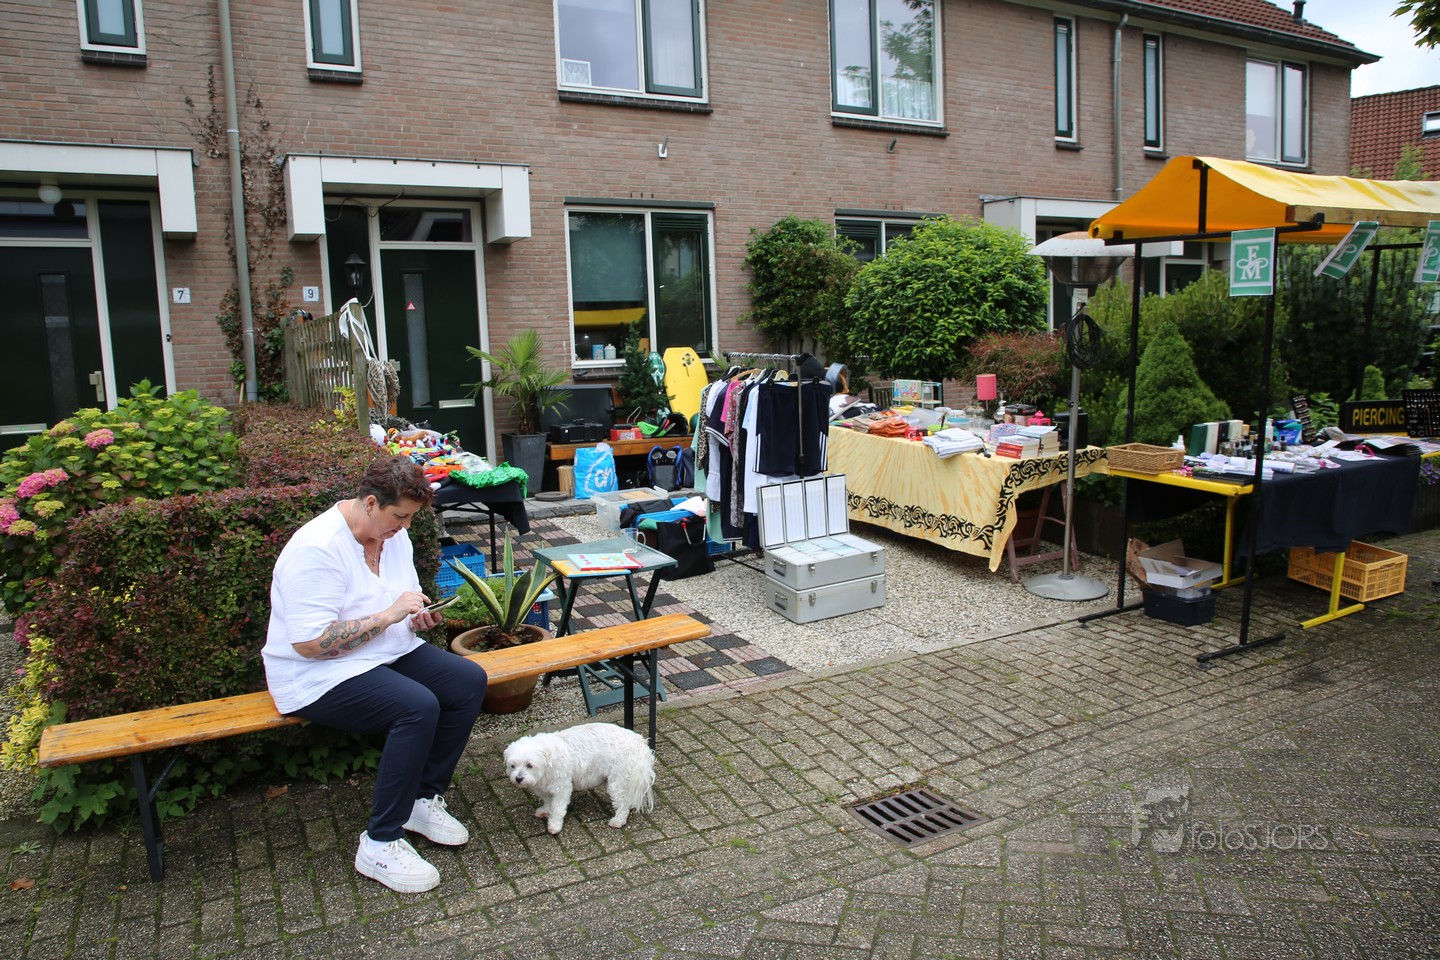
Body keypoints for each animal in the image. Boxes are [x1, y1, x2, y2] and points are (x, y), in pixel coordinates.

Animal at [503, 722, 656, 835]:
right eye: (512, 765)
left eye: (529, 765)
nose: (518, 778)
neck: (547, 764)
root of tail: (640, 742)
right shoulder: (544, 788)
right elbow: (548, 802)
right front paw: (545, 810)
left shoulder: (562, 789)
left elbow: (557, 809)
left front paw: (554, 825)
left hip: (617, 782)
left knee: (623, 803)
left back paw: (618, 820)